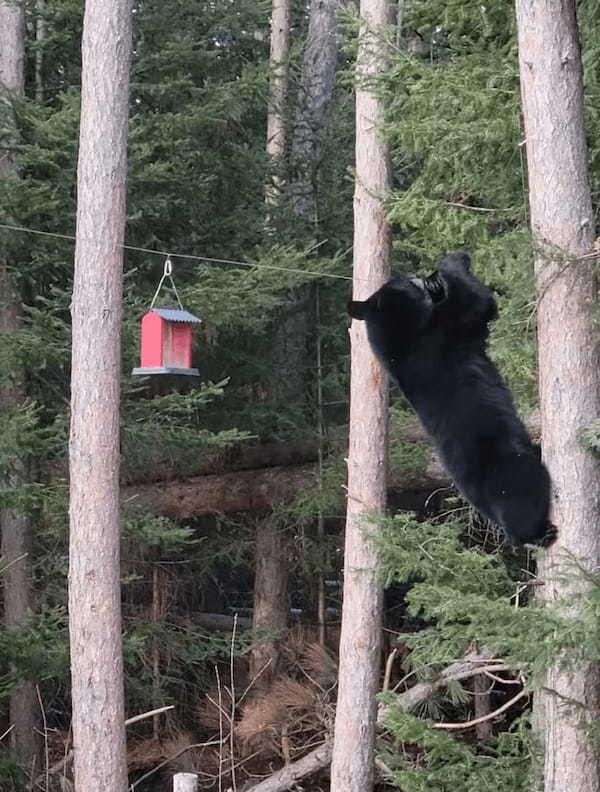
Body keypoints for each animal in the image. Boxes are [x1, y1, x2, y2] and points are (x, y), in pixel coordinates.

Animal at [350, 251, 556, 548]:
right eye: (406, 281)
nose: (417, 275)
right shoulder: (438, 334)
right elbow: (474, 306)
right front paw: (452, 265)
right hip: (509, 469)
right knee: (524, 495)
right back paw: (539, 533)